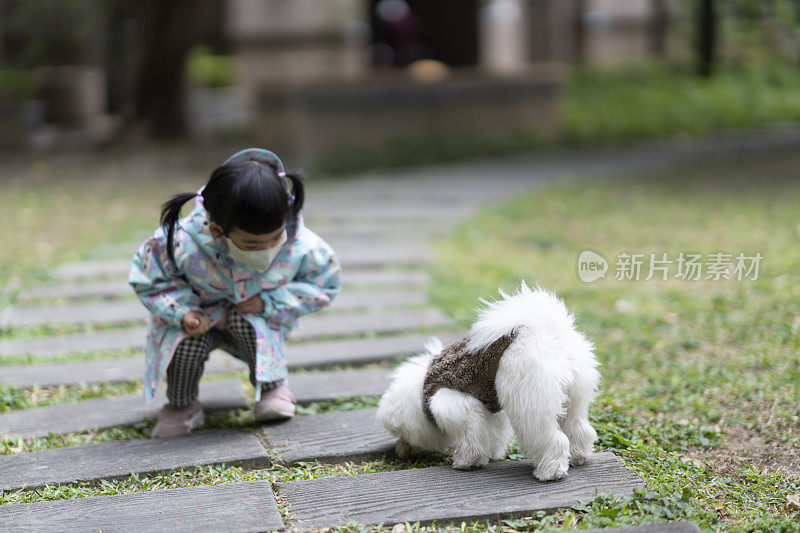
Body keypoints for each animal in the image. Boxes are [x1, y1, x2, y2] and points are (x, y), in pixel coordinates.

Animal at [376, 282, 600, 482]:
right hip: (574, 397)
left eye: (402, 434)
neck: (423, 391)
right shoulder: (489, 409)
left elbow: (472, 438)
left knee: (550, 438)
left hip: (531, 403)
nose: (400, 451)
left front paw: (467, 462)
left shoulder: (456, 406)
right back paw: (579, 456)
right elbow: (492, 434)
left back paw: (550, 471)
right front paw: (489, 454)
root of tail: (546, 331)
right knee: (578, 427)